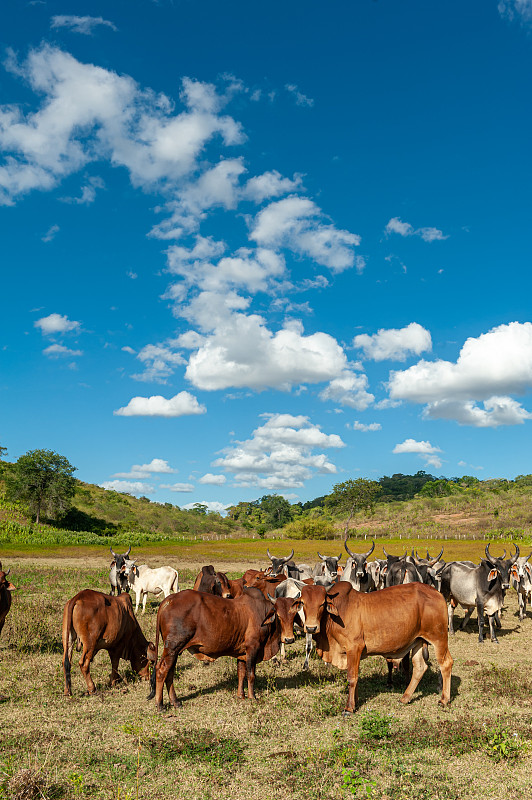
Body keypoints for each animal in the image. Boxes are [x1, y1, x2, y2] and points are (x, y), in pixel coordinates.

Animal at [145, 584, 278, 708]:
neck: (262, 611)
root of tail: (169, 599)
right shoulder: (253, 648)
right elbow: (251, 674)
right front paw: (252, 697)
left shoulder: (242, 653)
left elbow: (241, 673)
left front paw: (241, 695)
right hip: (173, 647)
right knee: (162, 670)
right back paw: (160, 705)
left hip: (174, 651)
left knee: (170, 672)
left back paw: (175, 702)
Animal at [316, 580, 454, 716]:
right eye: (306, 603)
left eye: (322, 604)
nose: (312, 627)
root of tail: (437, 593)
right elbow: (355, 677)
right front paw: (355, 702)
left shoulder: (354, 648)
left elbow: (352, 678)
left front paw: (349, 708)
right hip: (418, 641)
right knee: (419, 667)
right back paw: (405, 698)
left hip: (439, 638)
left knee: (446, 663)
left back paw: (444, 699)